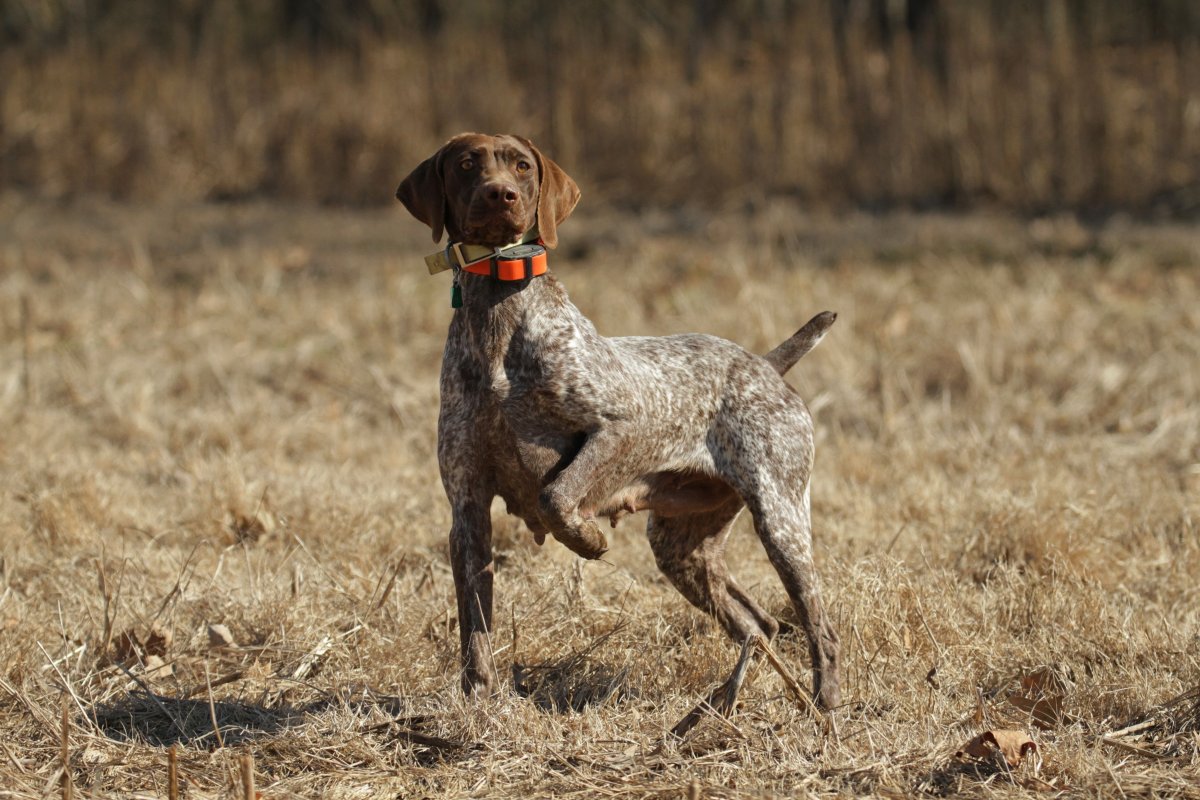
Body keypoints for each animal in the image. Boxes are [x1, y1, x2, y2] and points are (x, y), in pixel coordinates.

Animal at [398, 133, 840, 714]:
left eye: (521, 166)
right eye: (468, 164)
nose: (501, 195)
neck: (498, 316)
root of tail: (766, 364)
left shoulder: (620, 426)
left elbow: (556, 494)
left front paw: (587, 539)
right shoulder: (467, 508)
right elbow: (475, 628)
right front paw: (479, 699)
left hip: (779, 519)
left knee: (820, 628)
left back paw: (825, 706)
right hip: (682, 549)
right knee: (758, 625)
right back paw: (724, 705)